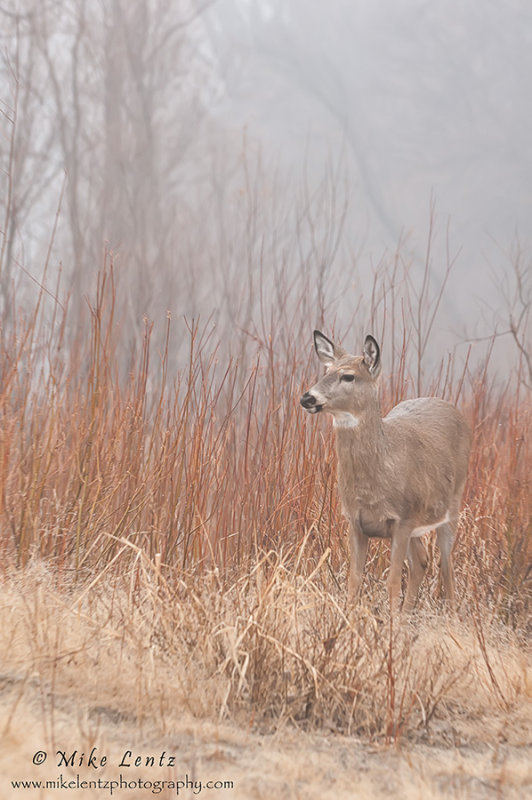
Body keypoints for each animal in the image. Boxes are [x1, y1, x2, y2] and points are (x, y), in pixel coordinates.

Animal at [302, 330, 472, 612]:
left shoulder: (402, 520)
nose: (307, 398)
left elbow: (392, 583)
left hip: (452, 505)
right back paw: (406, 616)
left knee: (446, 566)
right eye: (325, 370)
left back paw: (451, 614)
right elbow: (354, 582)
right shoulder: (355, 521)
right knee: (422, 561)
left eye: (348, 376)